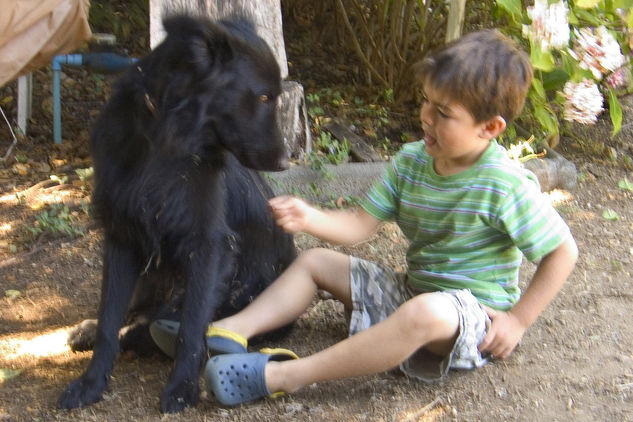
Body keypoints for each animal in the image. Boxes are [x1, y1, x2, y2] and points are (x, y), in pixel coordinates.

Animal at [58, 14, 296, 414]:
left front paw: (182, 386)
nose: (284, 162)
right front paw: (91, 383)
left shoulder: (209, 246)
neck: (165, 140)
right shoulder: (121, 237)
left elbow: (191, 326)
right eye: (264, 97)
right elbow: (109, 319)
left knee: (158, 322)